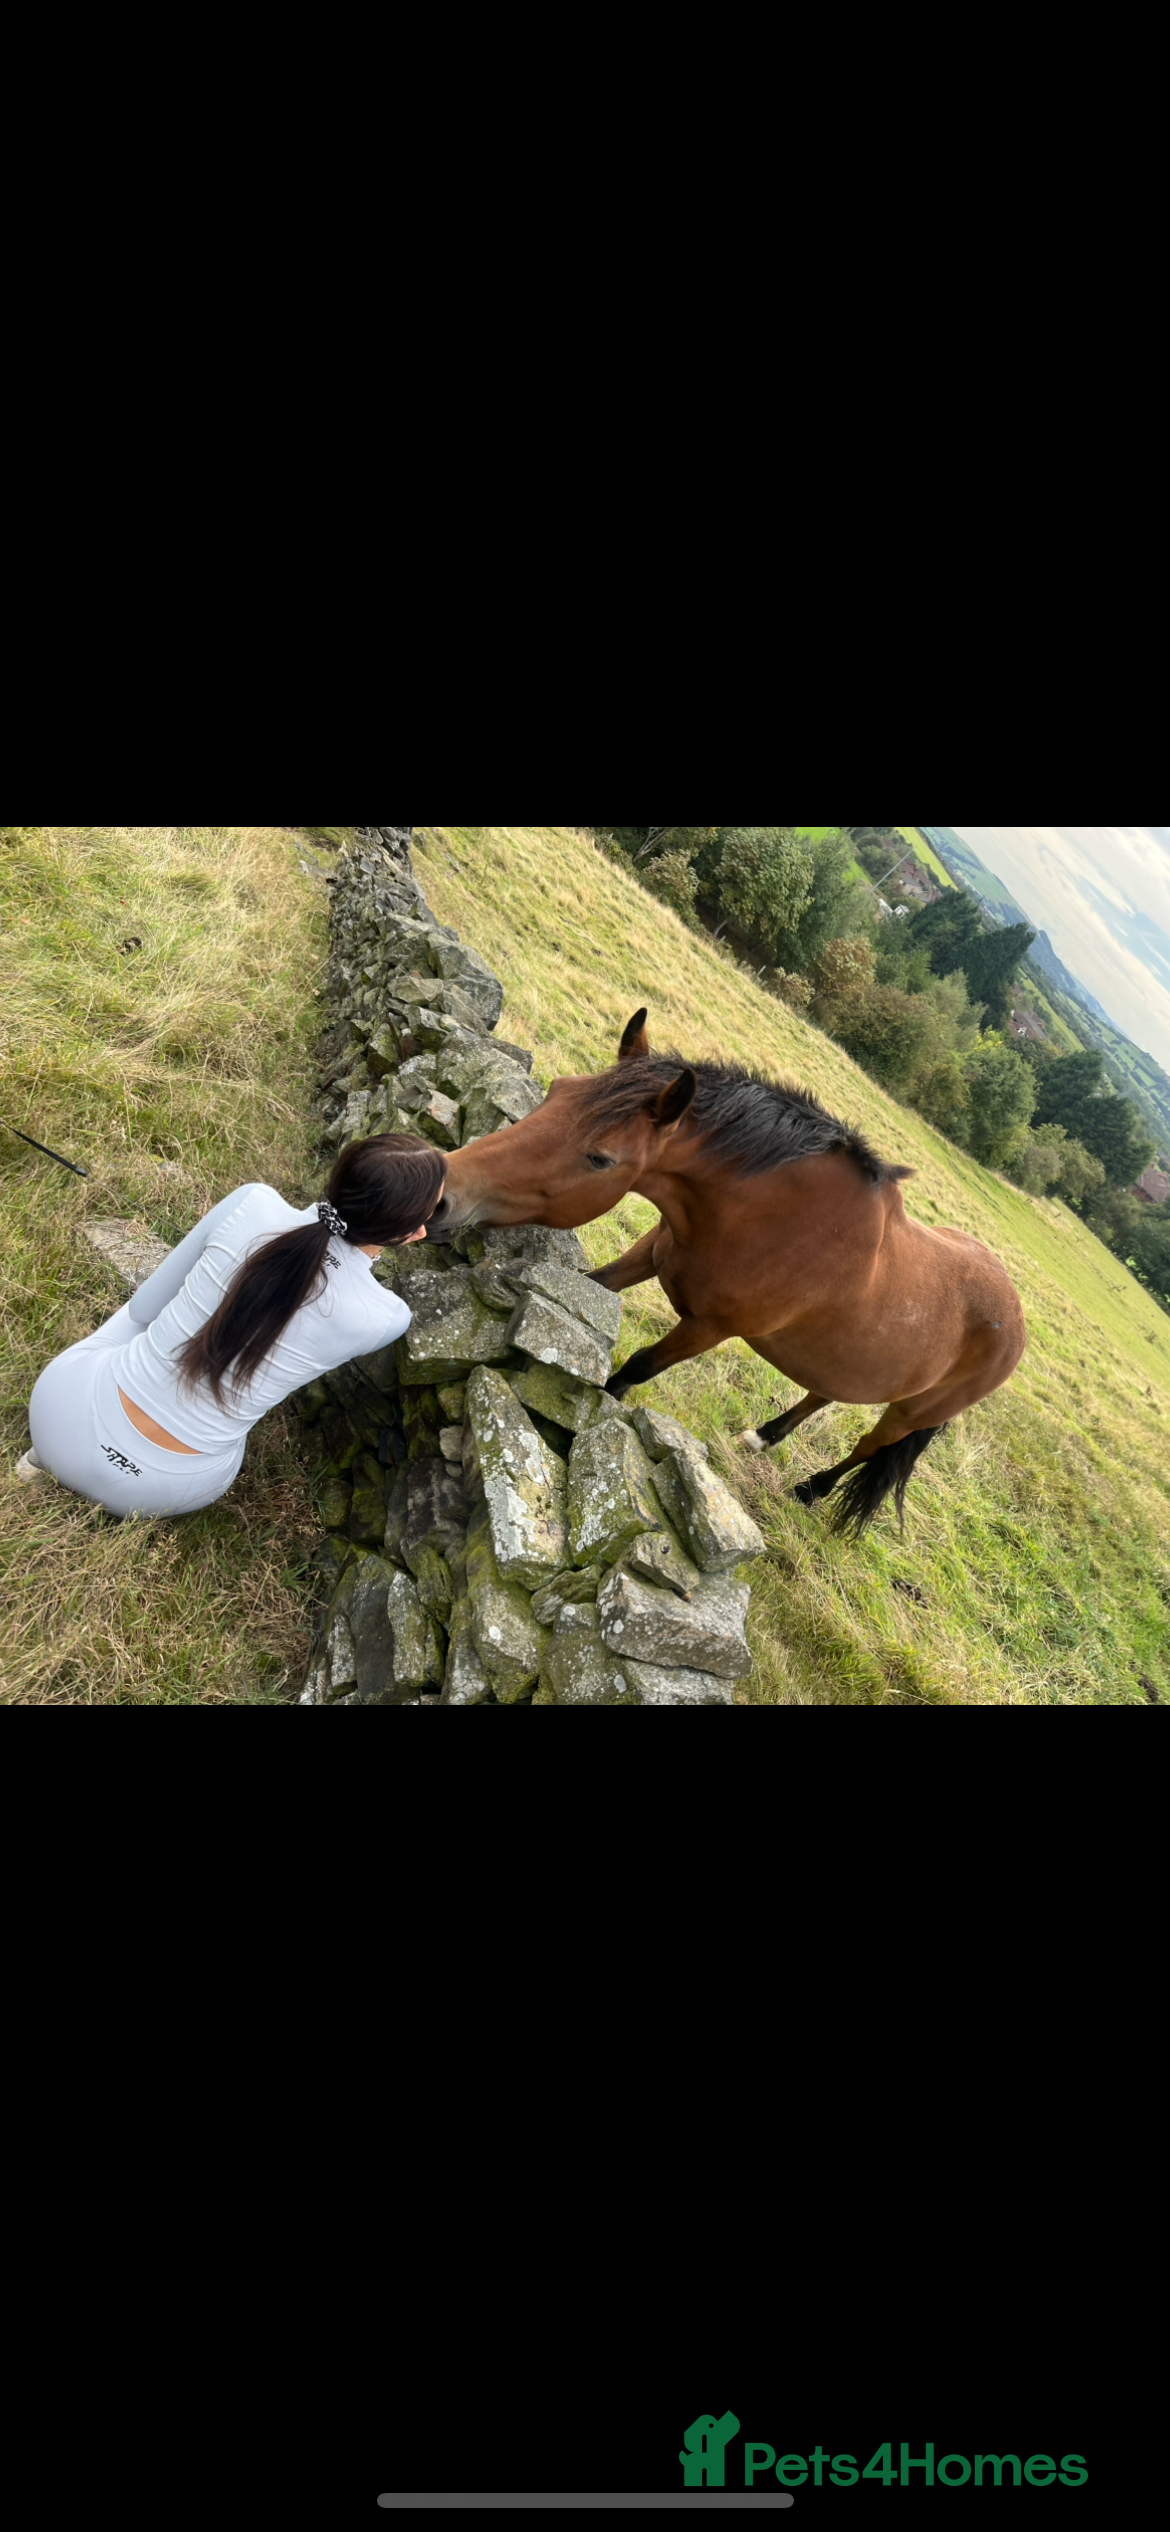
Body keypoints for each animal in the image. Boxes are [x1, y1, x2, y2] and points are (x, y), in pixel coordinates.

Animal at [427, 1010, 1026, 1535]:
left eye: (600, 1158)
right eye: (556, 1090)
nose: (442, 1194)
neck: (773, 1219)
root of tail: (1016, 1324)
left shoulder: (710, 1329)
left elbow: (639, 1367)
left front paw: (602, 1405)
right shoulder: (651, 1255)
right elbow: (594, 1287)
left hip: (909, 1415)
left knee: (867, 1447)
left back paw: (810, 1489)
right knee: (823, 1393)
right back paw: (763, 1437)